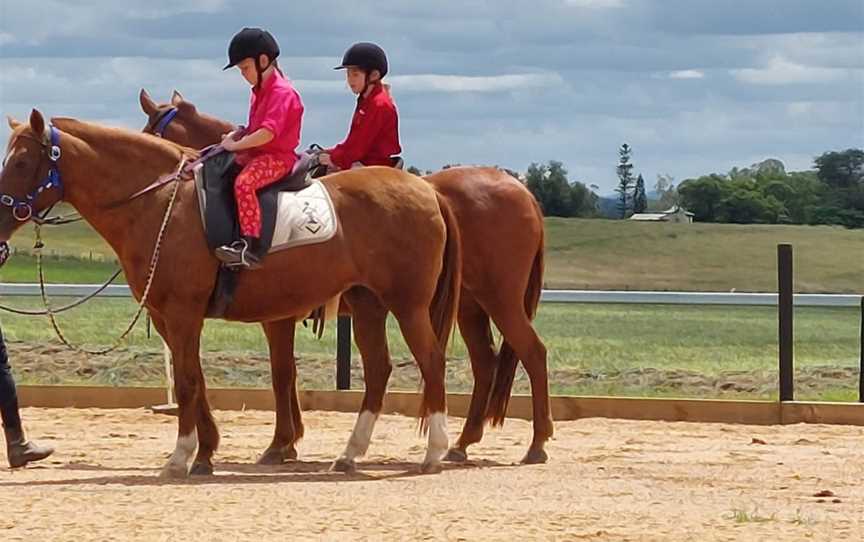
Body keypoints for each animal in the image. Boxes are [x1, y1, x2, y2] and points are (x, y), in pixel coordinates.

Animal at [1, 109, 460, 476]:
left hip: (408, 305)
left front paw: (181, 457)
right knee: (380, 369)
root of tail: (427, 190)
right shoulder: (169, 317)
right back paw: (350, 454)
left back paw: (435, 452)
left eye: (21, 161)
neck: (163, 203)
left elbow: (189, 381)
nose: (0, 216)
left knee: (432, 361)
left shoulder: (183, 313)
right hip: (368, 306)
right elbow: (198, 378)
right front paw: (206, 452)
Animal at [138, 88, 552, 464]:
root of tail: (523, 192)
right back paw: (462, 443)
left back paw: (535, 443)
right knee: (485, 363)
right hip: (470, 308)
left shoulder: (277, 315)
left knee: (531, 352)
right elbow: (286, 373)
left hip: (498, 299)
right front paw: (288, 441)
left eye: (152, 130)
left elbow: (281, 374)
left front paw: (281, 443)